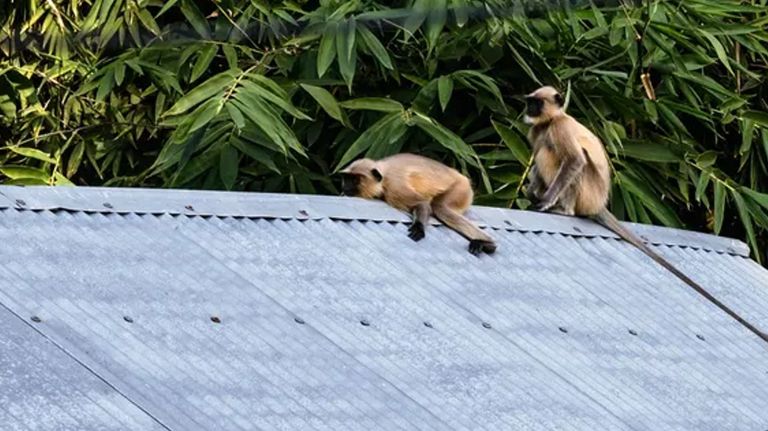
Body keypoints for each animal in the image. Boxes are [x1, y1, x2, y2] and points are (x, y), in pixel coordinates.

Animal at [340, 153, 497, 256]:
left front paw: (419, 227)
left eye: (355, 180)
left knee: (440, 207)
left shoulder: (395, 187)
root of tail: (461, 176)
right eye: (346, 179)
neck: (383, 175)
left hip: (460, 189)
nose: (345, 187)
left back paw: (488, 244)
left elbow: (422, 203)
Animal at [523, 85, 768, 344]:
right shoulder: (537, 130)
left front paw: (544, 201)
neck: (550, 121)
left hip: (587, 193)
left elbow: (574, 160)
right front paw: (532, 193)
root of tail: (599, 204)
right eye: (530, 102)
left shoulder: (559, 128)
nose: (528, 110)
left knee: (565, 156)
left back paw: (564, 209)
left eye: (537, 103)